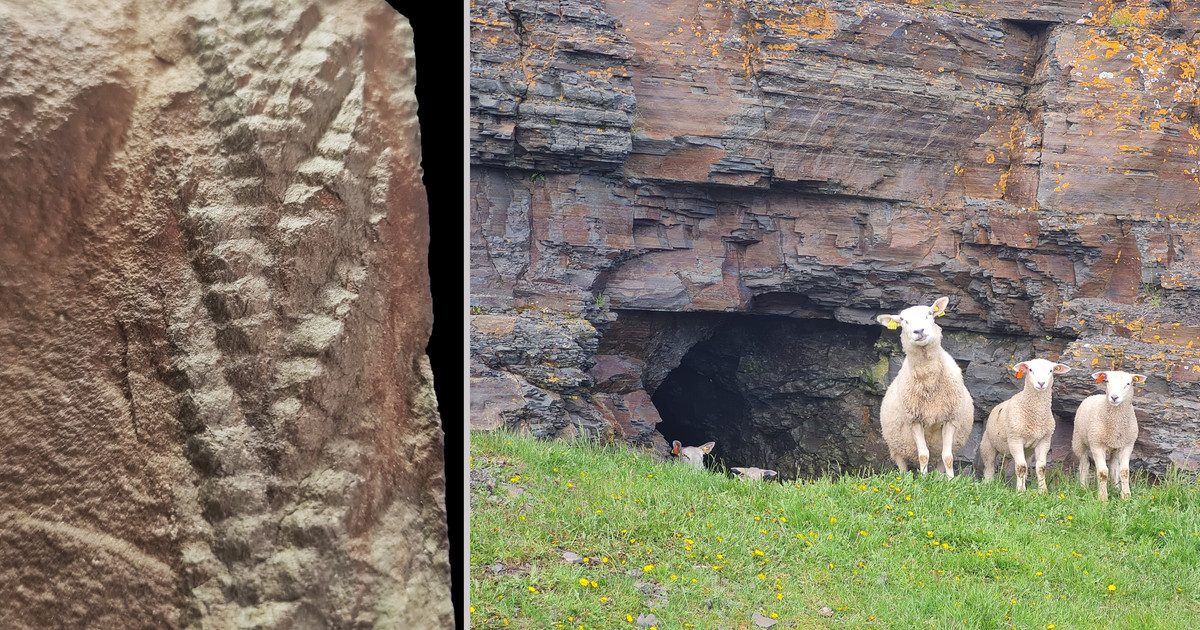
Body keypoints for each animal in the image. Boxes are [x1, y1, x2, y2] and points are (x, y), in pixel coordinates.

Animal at [876, 296, 975, 477]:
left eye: (929, 313)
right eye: (902, 320)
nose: (919, 331)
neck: (929, 382)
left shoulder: (950, 418)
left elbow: (948, 457)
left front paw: (951, 480)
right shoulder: (914, 420)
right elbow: (923, 455)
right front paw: (923, 478)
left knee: (940, 460)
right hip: (895, 445)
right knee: (902, 463)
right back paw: (906, 478)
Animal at [978, 358, 1071, 493]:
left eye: (1051, 370)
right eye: (1030, 370)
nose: (1041, 383)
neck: (1036, 417)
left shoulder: (1044, 441)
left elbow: (1041, 467)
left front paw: (1043, 491)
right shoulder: (1015, 440)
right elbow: (1021, 467)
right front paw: (1020, 491)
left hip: (1025, 451)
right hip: (988, 444)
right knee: (989, 465)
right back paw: (988, 484)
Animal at [1072, 370, 1146, 501]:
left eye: (1128, 383)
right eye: (1107, 381)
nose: (1114, 397)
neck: (1115, 424)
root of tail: (1093, 396)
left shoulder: (1127, 445)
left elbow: (1124, 471)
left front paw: (1126, 495)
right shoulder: (1096, 445)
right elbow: (1102, 472)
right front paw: (1102, 498)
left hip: (1115, 448)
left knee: (1113, 466)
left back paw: (1115, 488)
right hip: (1079, 442)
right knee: (1084, 464)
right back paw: (1083, 487)